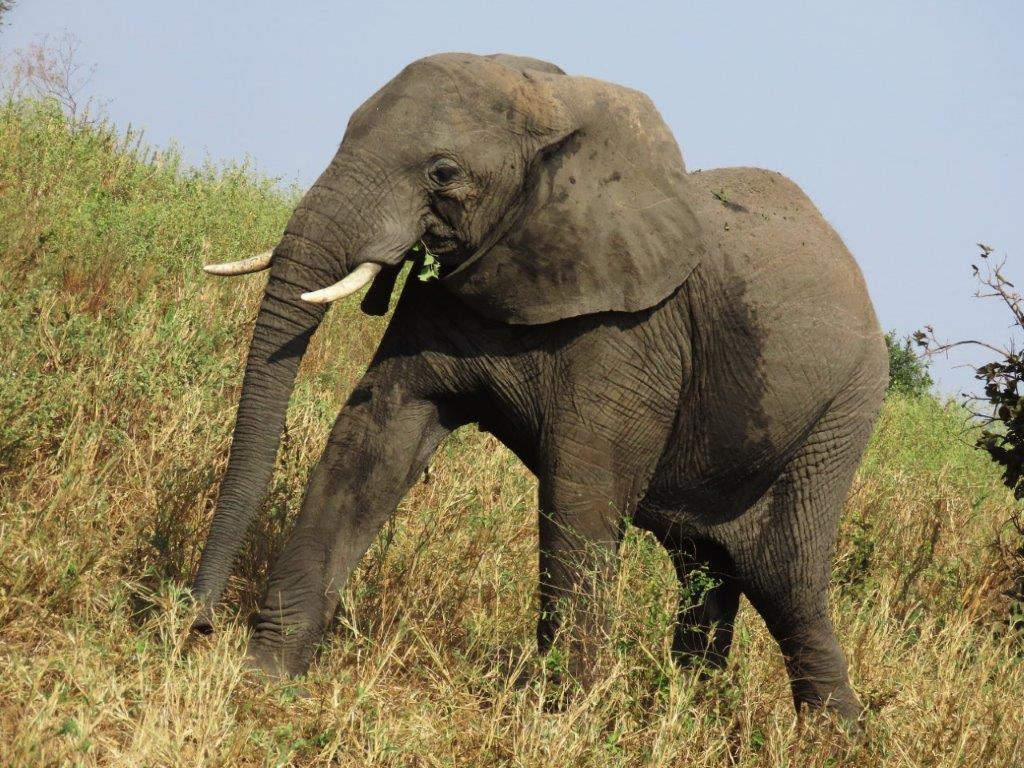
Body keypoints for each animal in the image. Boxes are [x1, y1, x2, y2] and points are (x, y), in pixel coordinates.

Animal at [190, 52, 887, 720]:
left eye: (443, 172)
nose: (196, 624)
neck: (554, 102)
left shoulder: (632, 331)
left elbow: (580, 493)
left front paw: (566, 723)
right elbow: (374, 437)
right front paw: (263, 678)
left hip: (842, 415)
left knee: (783, 578)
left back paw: (831, 739)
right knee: (708, 571)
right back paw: (688, 713)